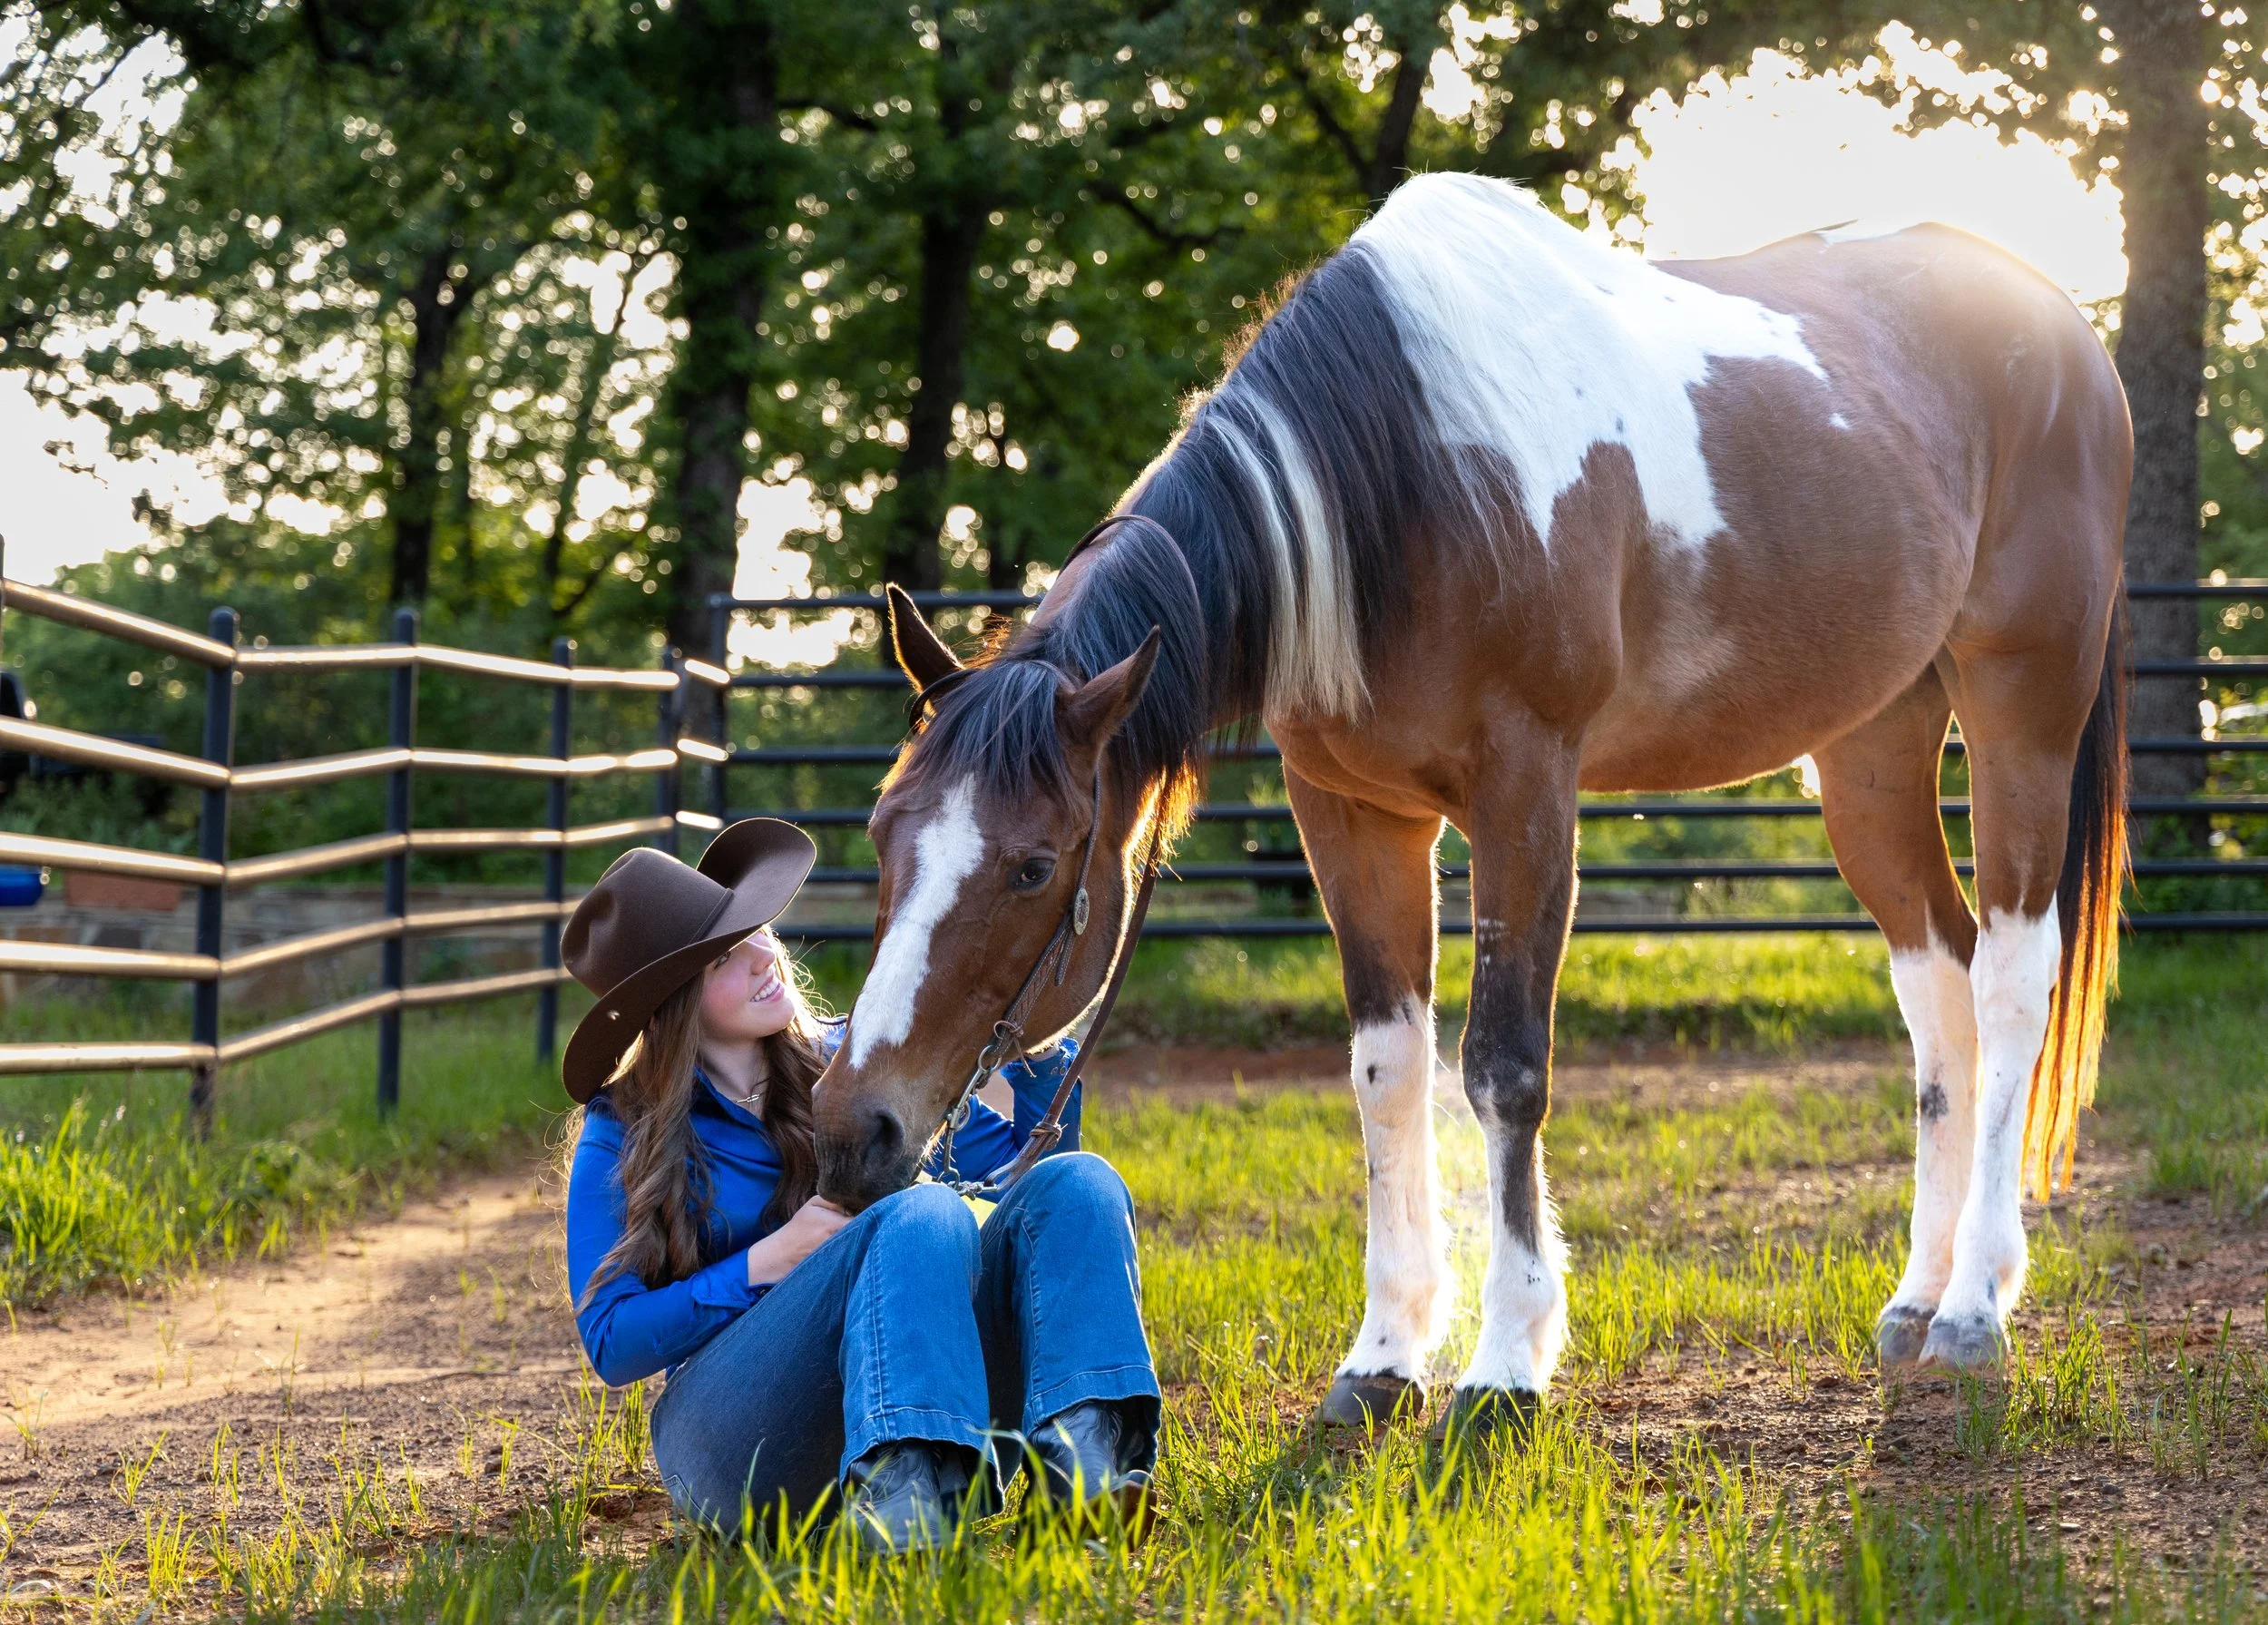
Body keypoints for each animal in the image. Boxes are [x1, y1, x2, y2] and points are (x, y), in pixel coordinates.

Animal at [810, 171, 2131, 1436]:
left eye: (1033, 865)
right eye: (880, 838)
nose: (848, 1127)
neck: (1414, 482)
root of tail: (2059, 322)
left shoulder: (1524, 791)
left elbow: (1502, 1065)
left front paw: (1504, 1365)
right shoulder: (1350, 814)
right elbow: (1387, 1070)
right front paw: (1384, 1355)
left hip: (2020, 706)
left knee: (2011, 979)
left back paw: (1974, 1306)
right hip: (1869, 748)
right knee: (1937, 981)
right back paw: (1916, 1294)